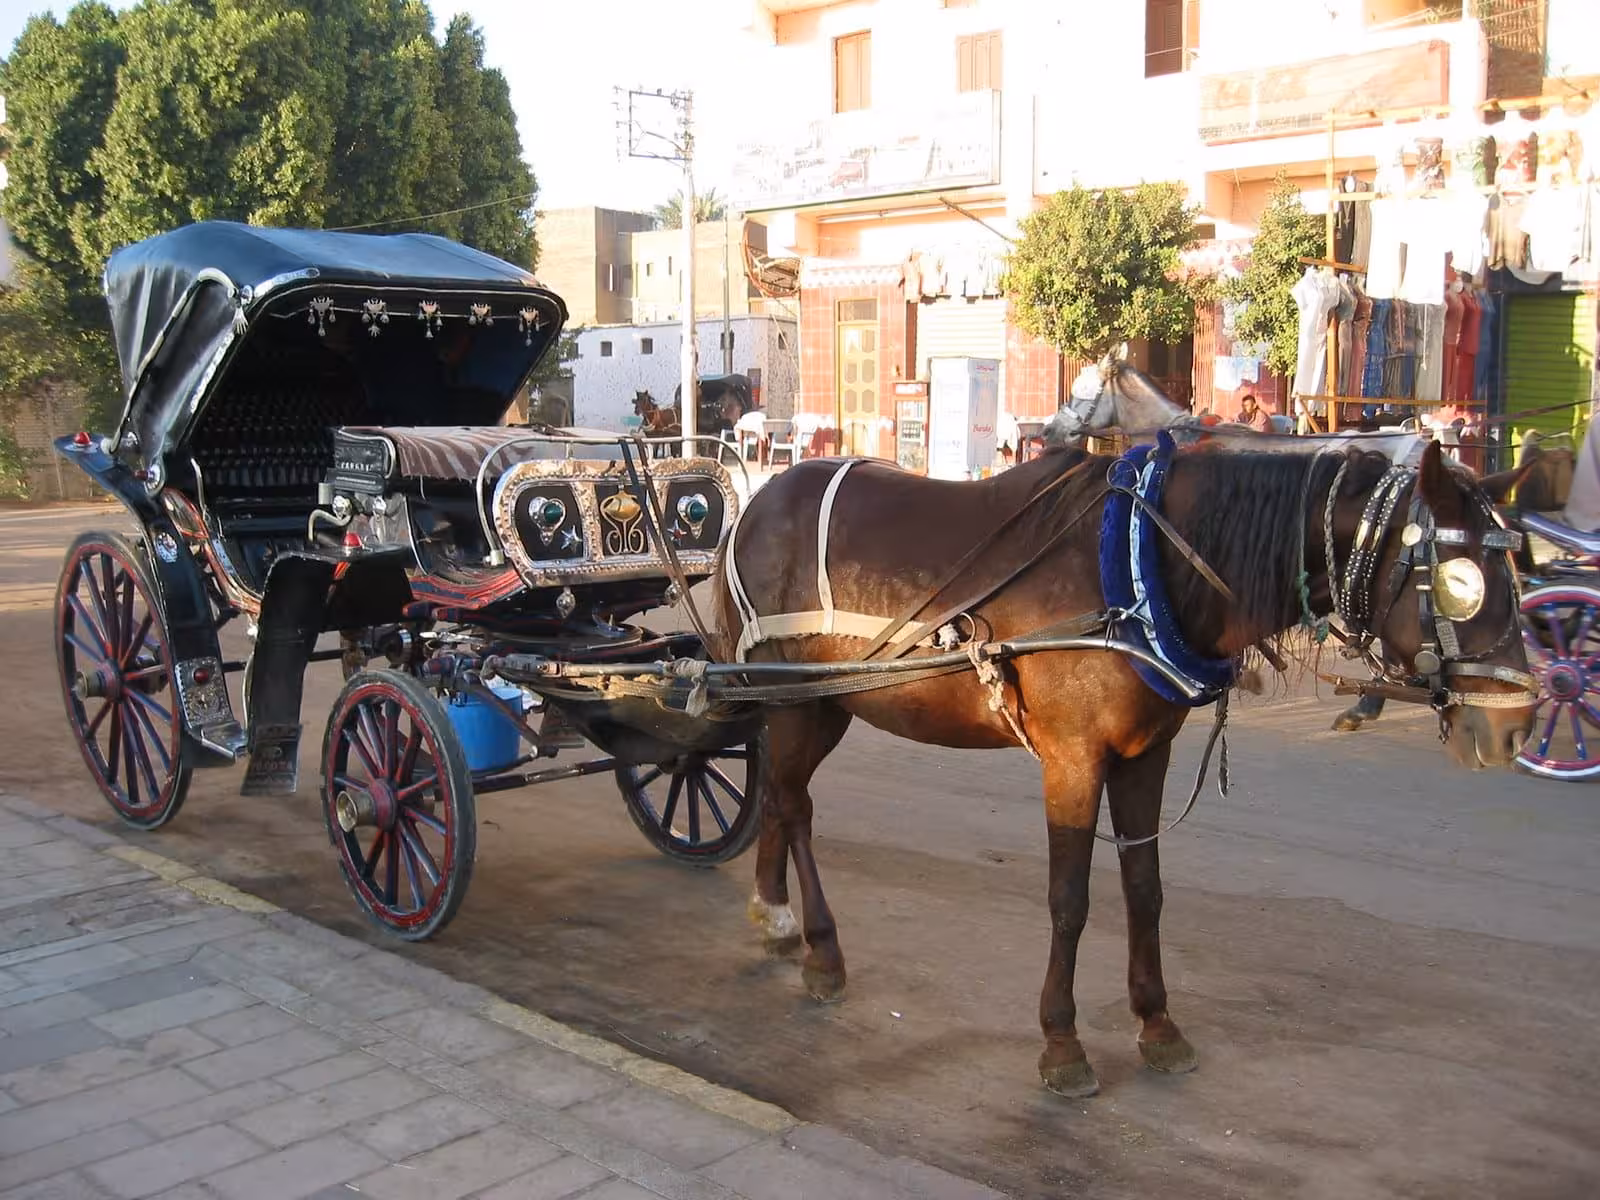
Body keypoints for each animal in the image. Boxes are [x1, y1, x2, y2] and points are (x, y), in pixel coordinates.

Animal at [717, 435, 1535, 1098]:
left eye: (1519, 572)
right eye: (1460, 581)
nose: (1515, 724)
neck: (1146, 570)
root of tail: (761, 502)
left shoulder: (1147, 755)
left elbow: (1145, 891)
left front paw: (1158, 1024)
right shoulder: (1074, 761)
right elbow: (1070, 900)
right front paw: (1062, 1042)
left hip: (822, 702)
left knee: (780, 798)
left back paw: (774, 911)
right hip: (794, 699)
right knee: (794, 806)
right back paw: (821, 949)